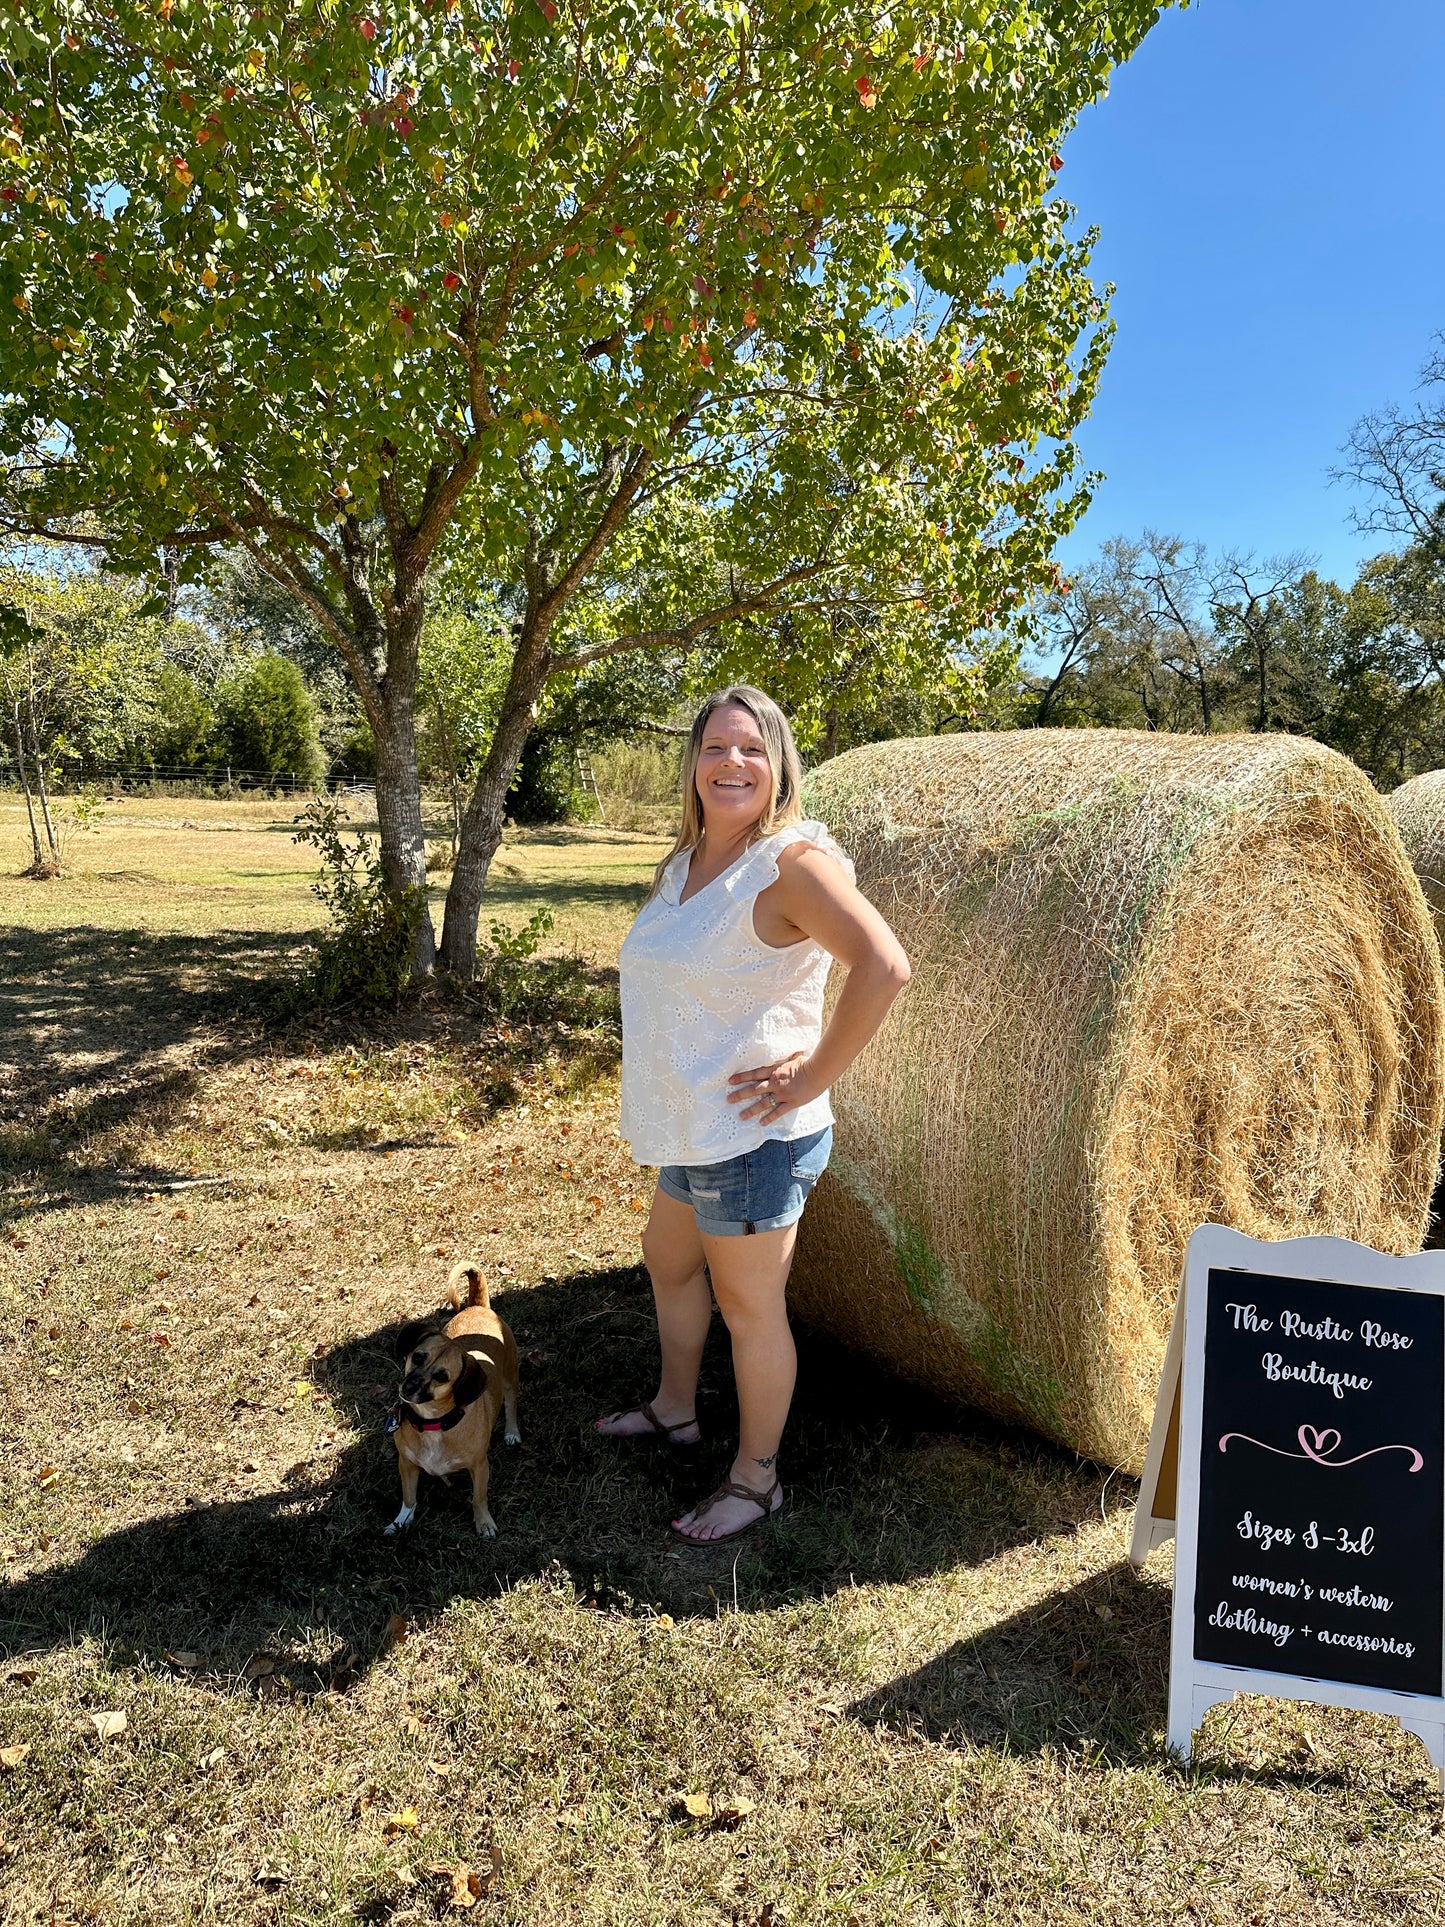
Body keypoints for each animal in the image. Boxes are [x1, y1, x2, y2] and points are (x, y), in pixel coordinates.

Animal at [385, 1264, 520, 1533]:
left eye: (442, 1376)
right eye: (417, 1357)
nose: (408, 1387)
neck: (433, 1424)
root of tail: (477, 1306)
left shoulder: (479, 1466)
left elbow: (479, 1498)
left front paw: (484, 1523)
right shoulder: (407, 1464)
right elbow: (409, 1498)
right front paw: (400, 1521)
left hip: (511, 1377)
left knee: (511, 1404)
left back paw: (512, 1431)